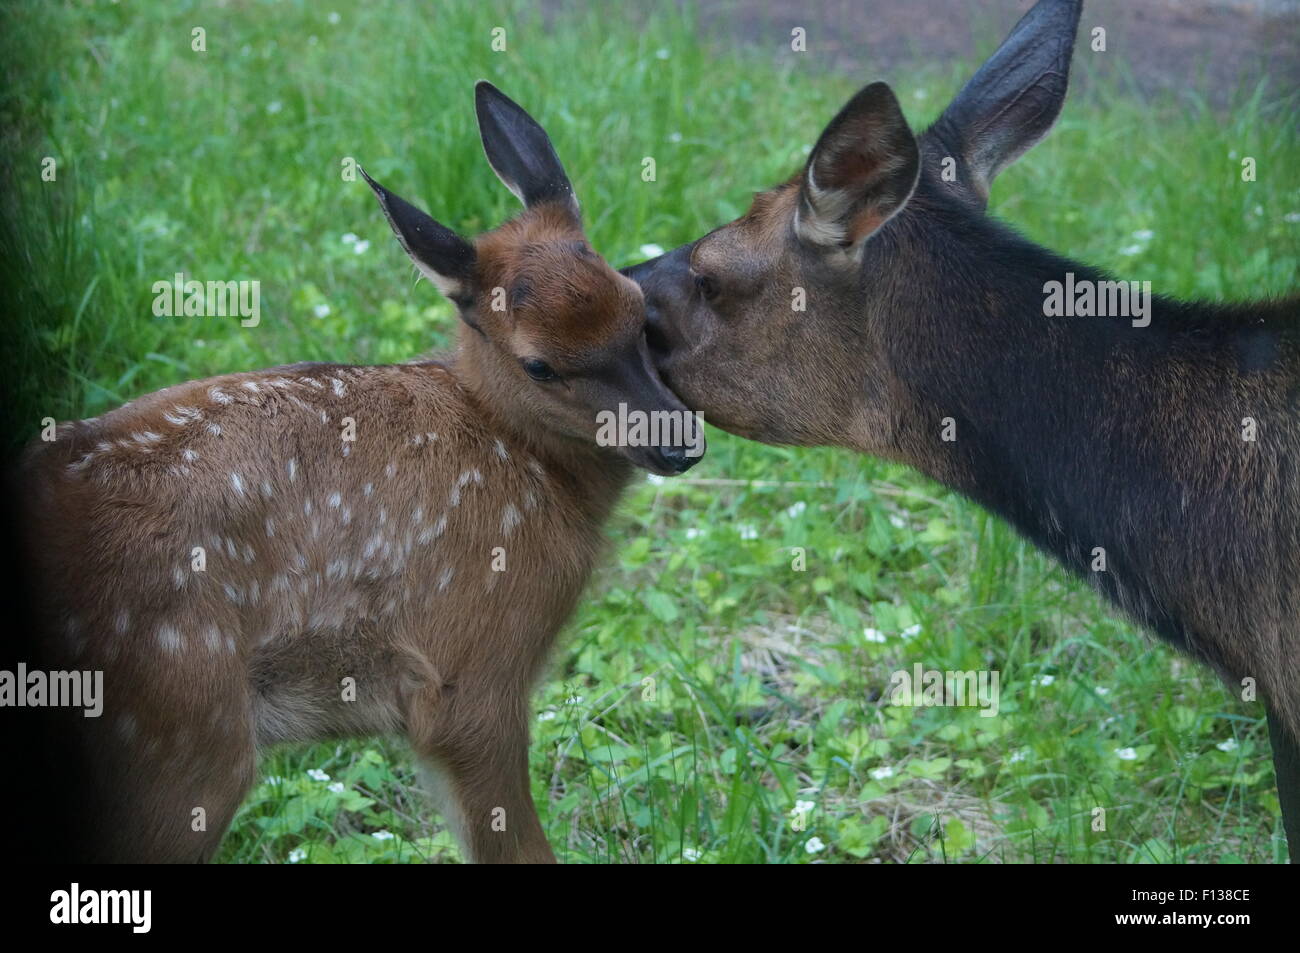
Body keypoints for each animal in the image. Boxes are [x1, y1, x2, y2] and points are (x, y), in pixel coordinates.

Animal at [17, 81, 702, 863]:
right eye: (539, 364)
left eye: (637, 305)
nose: (680, 443)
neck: (523, 458)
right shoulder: (472, 671)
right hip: (181, 733)